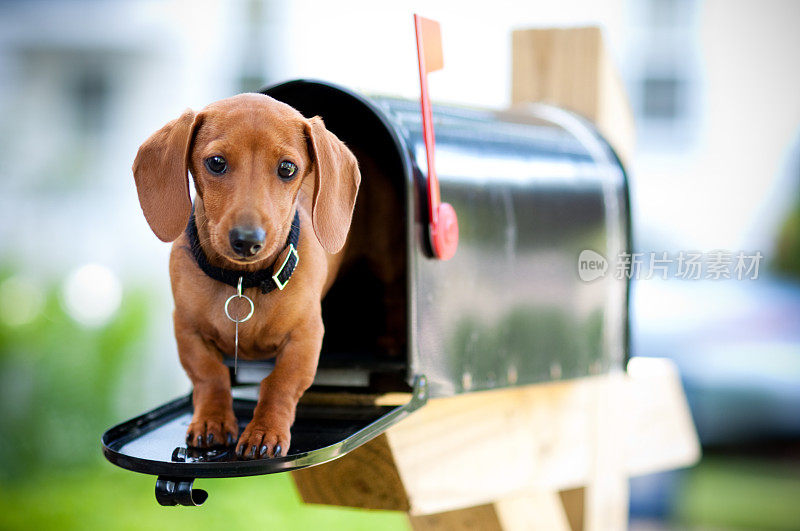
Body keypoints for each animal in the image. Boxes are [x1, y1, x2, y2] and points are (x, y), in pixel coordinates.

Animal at [132, 93, 360, 460]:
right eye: (216, 163)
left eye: (287, 168)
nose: (247, 241)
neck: (243, 281)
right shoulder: (187, 329)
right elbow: (209, 375)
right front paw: (211, 421)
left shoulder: (306, 337)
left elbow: (280, 383)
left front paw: (264, 430)